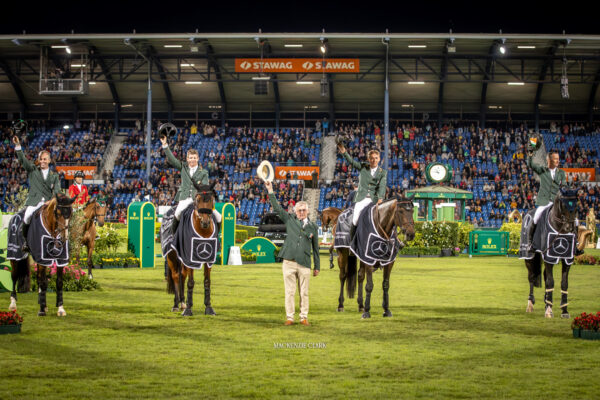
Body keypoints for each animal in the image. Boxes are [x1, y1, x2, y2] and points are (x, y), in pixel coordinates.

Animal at [165, 183, 217, 318]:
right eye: (197, 200)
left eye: (212, 200)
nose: (205, 222)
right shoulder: (190, 259)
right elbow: (191, 282)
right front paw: (188, 309)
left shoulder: (208, 259)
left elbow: (207, 281)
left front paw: (209, 308)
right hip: (172, 257)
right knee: (176, 276)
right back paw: (176, 305)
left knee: (182, 275)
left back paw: (182, 302)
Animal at [524, 190, 580, 318]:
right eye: (563, 204)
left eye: (576, 204)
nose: (569, 227)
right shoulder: (549, 258)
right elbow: (550, 282)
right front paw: (549, 311)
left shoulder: (567, 260)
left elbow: (564, 283)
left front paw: (564, 311)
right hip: (529, 258)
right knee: (531, 277)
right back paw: (530, 304)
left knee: (544, 276)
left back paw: (546, 302)